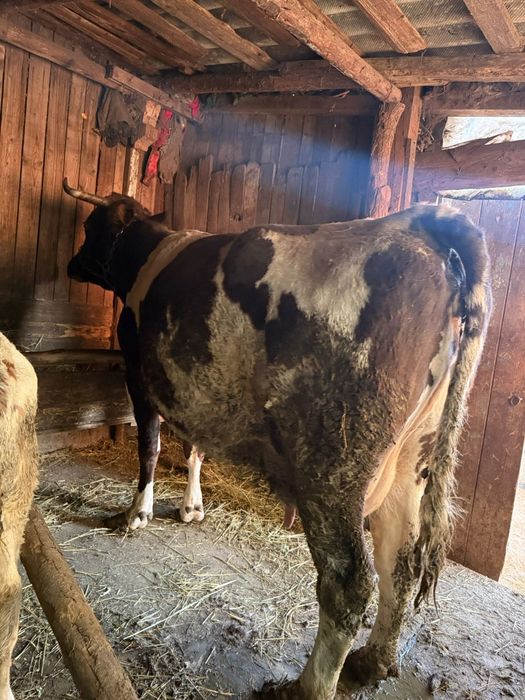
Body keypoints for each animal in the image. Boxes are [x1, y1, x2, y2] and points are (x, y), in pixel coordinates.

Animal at [64, 178, 491, 699]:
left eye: (89, 227)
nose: (71, 264)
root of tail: (420, 224)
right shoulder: (197, 387)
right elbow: (195, 448)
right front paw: (192, 507)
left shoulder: (141, 378)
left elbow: (151, 448)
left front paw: (135, 515)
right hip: (413, 456)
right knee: (401, 559)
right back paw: (371, 662)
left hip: (335, 463)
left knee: (349, 582)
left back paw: (305, 687)